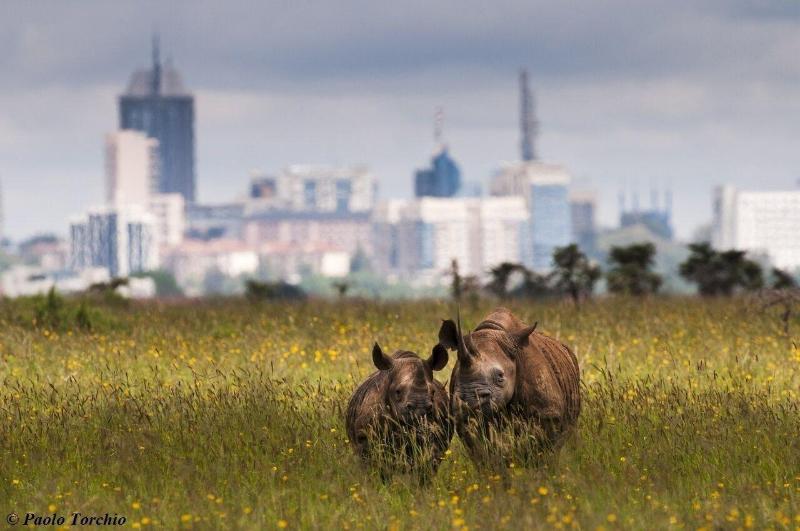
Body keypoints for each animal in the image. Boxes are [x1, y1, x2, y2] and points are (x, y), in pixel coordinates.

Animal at [345, 342, 453, 481]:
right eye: (397, 391)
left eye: (433, 392)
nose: (420, 410)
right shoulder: (365, 439)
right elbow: (379, 468)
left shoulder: (437, 437)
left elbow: (427, 467)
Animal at [438, 307, 580, 464]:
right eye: (457, 375)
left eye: (500, 376)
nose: (470, 401)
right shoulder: (465, 421)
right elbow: (483, 452)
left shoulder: (548, 413)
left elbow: (541, 450)